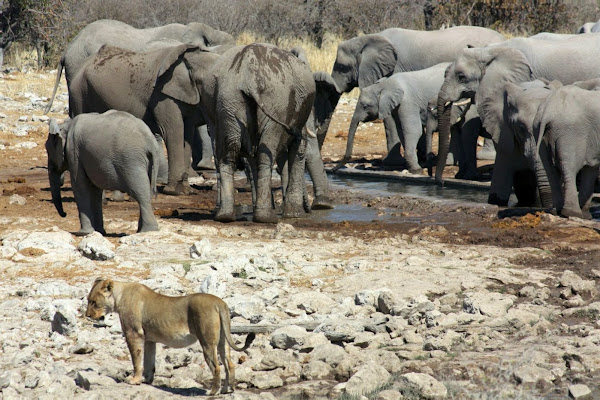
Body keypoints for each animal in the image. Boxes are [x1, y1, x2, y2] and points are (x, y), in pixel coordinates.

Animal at [69, 44, 220, 197]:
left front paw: (186, 190)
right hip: (79, 92)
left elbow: (187, 132)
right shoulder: (161, 94)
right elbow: (173, 131)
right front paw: (176, 192)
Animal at [199, 44, 316, 225]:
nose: (310, 210)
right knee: (265, 153)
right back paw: (266, 218)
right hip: (277, 101)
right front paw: (295, 215)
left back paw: (225, 216)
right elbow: (299, 149)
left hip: (228, 100)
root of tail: (248, 76)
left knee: (228, 154)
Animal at [330, 25, 504, 166]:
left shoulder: (395, 69)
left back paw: (484, 156)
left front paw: (392, 163)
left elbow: (390, 117)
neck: (369, 38)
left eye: (342, 67)